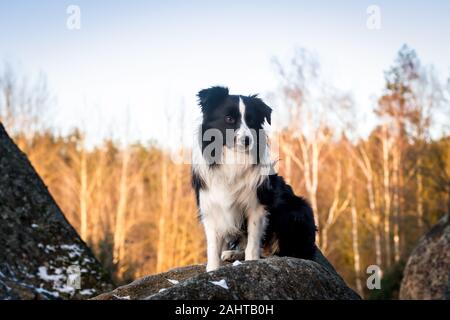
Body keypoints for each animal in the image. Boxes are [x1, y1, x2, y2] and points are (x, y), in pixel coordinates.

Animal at [192, 86, 316, 272]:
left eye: (251, 121)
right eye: (229, 119)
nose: (247, 140)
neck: (234, 159)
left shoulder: (257, 205)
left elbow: (253, 242)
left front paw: (252, 263)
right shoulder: (211, 207)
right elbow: (213, 246)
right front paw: (212, 270)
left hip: (297, 211)